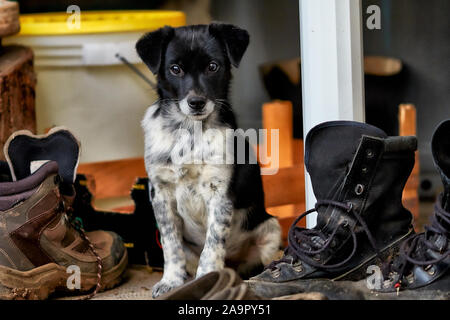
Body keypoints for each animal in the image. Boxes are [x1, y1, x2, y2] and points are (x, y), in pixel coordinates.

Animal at [135, 24, 280, 298]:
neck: (190, 131)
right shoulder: (160, 193)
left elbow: (213, 244)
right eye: (175, 69)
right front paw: (171, 281)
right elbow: (171, 245)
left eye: (213, 67)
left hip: (271, 229)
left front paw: (209, 278)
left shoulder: (219, 193)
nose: (197, 103)